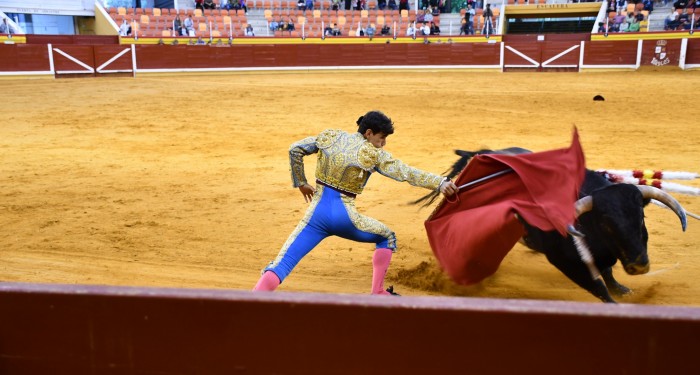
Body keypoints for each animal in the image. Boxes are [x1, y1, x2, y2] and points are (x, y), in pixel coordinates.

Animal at [416, 148, 688, 304]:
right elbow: (598, 287)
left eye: (641, 217)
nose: (639, 265)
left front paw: (623, 290)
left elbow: (608, 274)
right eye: (606, 223)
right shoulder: (564, 261)